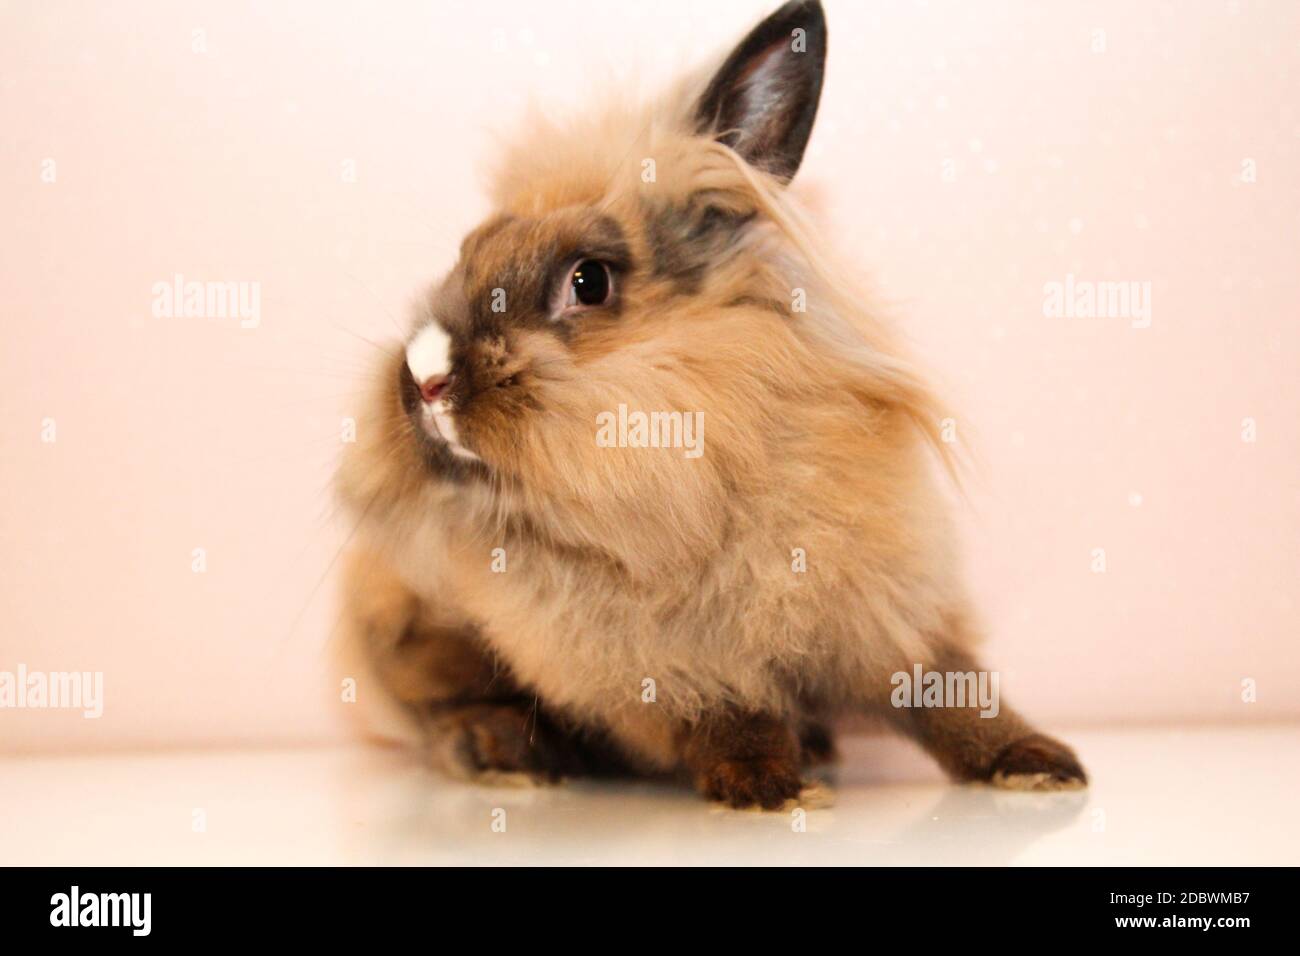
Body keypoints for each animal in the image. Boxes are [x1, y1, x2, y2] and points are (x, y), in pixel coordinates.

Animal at [334, 0, 1086, 809]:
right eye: (466, 255)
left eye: (589, 280)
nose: (423, 379)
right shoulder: (662, 654)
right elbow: (727, 711)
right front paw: (768, 787)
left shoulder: (888, 597)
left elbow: (948, 689)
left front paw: (1038, 764)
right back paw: (505, 752)